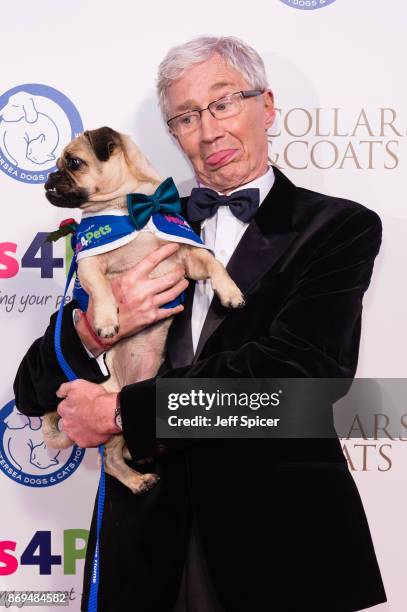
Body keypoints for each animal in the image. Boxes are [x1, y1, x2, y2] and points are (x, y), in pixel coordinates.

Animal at [41, 126, 245, 494]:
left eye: (73, 162)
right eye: (60, 164)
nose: (50, 176)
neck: (131, 207)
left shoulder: (187, 257)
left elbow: (213, 262)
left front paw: (230, 292)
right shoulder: (89, 262)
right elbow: (101, 289)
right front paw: (106, 321)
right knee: (108, 461)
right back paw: (136, 482)